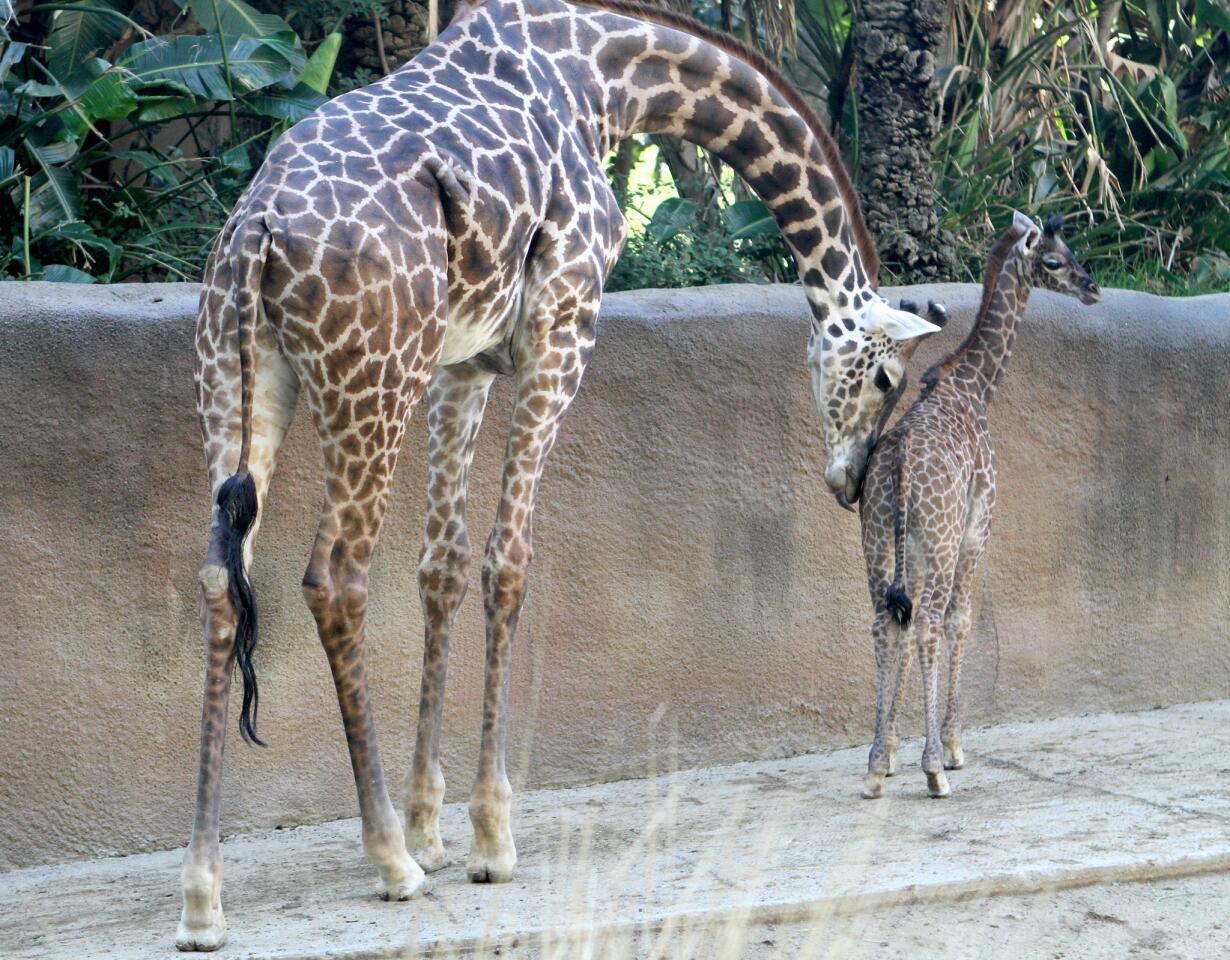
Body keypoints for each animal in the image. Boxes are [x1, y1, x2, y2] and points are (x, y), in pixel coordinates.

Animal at [178, 0, 934, 945]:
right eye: (886, 377)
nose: (848, 483)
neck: (603, 75)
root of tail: (258, 232)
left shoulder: (462, 365)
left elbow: (443, 566)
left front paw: (432, 827)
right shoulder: (563, 328)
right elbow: (508, 563)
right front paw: (487, 839)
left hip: (238, 379)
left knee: (220, 578)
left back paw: (204, 896)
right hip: (371, 381)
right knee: (333, 578)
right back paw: (386, 861)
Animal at [856, 214, 1107, 797]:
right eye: (1054, 260)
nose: (1092, 289)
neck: (975, 387)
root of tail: (901, 464)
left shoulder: (914, 550)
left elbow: (906, 628)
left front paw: (892, 753)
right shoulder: (979, 525)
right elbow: (960, 620)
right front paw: (950, 748)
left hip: (879, 541)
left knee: (886, 623)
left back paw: (875, 768)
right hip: (943, 541)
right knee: (929, 621)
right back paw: (933, 770)